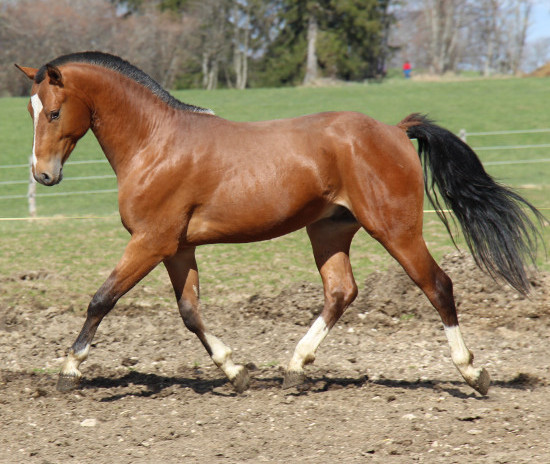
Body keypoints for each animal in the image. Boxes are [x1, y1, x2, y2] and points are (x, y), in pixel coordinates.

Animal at [15, 53, 544, 396]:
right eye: (30, 110)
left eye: (55, 111)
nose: (43, 175)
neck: (155, 143)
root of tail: (394, 131)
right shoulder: (177, 248)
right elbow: (190, 313)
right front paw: (236, 372)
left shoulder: (150, 242)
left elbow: (101, 299)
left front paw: (68, 372)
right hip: (329, 231)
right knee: (340, 292)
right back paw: (295, 367)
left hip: (396, 230)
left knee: (438, 285)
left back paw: (473, 374)